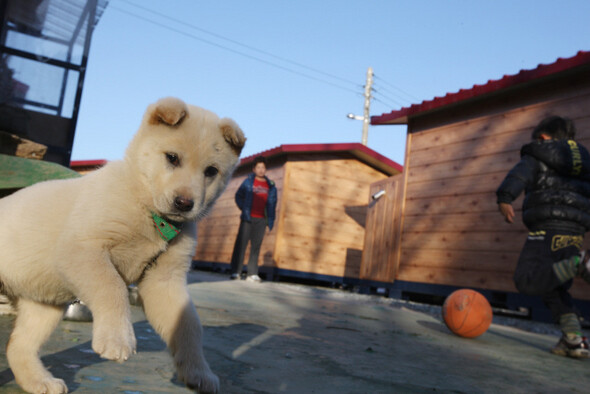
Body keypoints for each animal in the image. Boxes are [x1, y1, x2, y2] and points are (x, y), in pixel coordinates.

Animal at [0, 97, 246, 392]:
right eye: (172, 158)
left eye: (211, 171)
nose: (184, 203)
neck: (146, 209)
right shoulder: (82, 250)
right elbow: (112, 286)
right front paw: (117, 340)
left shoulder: (164, 280)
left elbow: (188, 326)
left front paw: (198, 372)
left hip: (42, 306)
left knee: (17, 347)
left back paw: (40, 381)